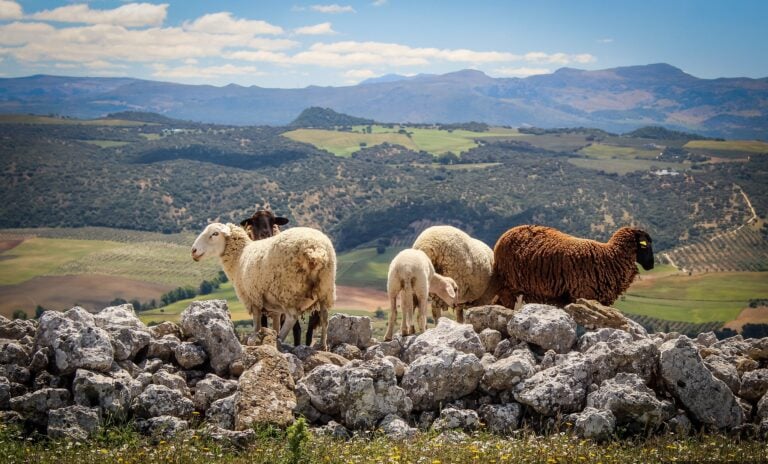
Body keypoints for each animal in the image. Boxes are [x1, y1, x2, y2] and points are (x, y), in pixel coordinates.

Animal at [191, 223, 336, 350]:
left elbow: (257, 323)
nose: (193, 251)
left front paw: (256, 338)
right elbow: (276, 323)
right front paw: (273, 333)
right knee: (324, 317)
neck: (239, 257)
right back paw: (323, 345)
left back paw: (279, 340)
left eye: (215, 234)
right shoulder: (274, 306)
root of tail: (315, 249)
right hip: (325, 287)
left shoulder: (252, 297)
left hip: (288, 289)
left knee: (292, 317)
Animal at [493, 225, 654, 308]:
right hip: (509, 285)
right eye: (646, 246)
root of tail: (502, 238)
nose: (651, 265)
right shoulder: (583, 295)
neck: (610, 258)